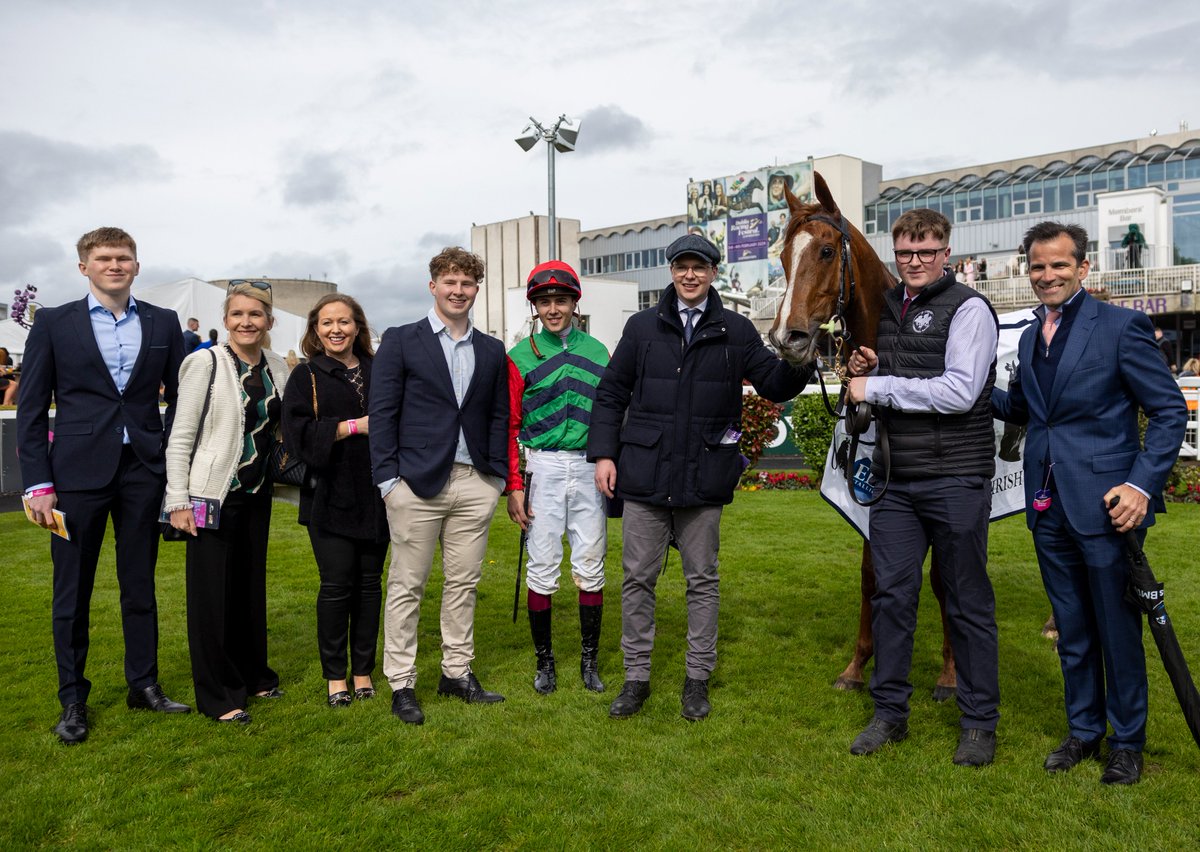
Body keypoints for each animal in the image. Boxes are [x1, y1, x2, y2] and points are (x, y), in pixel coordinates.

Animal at [768, 170, 955, 705]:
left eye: (827, 251)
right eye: (784, 257)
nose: (785, 337)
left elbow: (945, 578)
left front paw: (950, 674)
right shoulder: (873, 490)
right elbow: (873, 573)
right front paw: (857, 666)